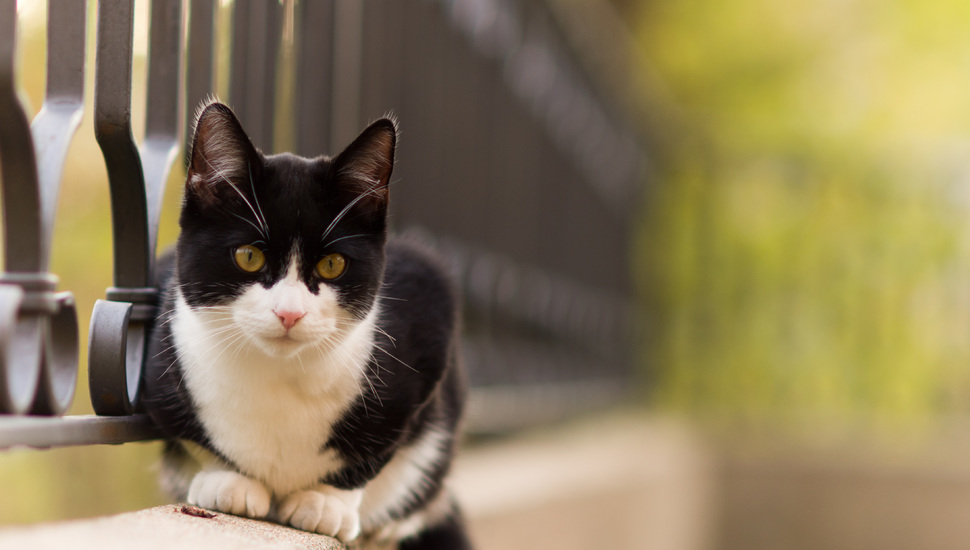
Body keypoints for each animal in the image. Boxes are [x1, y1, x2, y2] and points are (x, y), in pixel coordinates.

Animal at [144, 100, 472, 550]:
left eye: (332, 264)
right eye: (249, 256)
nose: (290, 313)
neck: (279, 374)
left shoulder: (430, 305)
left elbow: (376, 453)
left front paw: (325, 502)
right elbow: (193, 438)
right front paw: (228, 480)